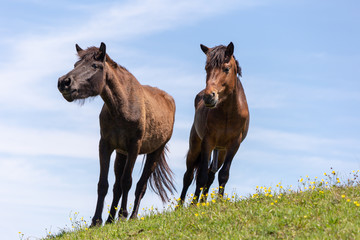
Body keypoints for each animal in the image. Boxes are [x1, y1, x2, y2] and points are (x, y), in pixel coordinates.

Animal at [57, 42, 176, 225]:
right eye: (76, 65)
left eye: (95, 65)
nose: (64, 82)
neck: (123, 105)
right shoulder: (105, 145)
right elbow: (104, 184)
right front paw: (96, 221)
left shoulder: (134, 147)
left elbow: (127, 181)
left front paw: (123, 215)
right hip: (121, 154)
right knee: (117, 187)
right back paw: (110, 220)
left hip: (155, 152)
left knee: (140, 185)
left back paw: (132, 216)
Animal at [180, 42, 250, 203]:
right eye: (207, 68)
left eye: (226, 69)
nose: (209, 97)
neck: (228, 113)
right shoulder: (207, 142)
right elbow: (201, 176)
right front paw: (193, 205)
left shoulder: (233, 145)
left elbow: (223, 175)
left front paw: (219, 202)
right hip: (195, 146)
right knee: (188, 176)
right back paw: (180, 205)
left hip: (221, 151)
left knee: (211, 175)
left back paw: (204, 203)